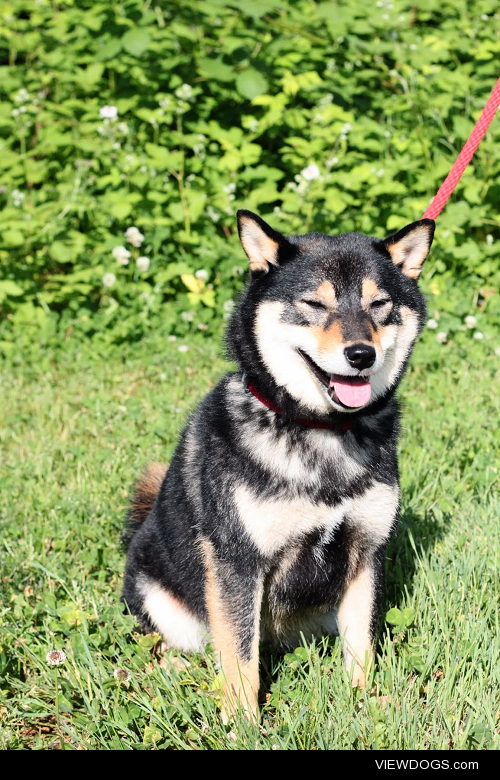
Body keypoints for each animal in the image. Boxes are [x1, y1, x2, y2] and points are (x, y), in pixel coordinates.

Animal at [121, 210, 434, 724]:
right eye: (314, 303)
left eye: (379, 304)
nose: (361, 354)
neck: (320, 431)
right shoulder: (237, 561)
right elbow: (239, 659)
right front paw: (242, 725)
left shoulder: (367, 553)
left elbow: (361, 647)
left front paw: (364, 703)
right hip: (161, 596)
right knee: (172, 646)